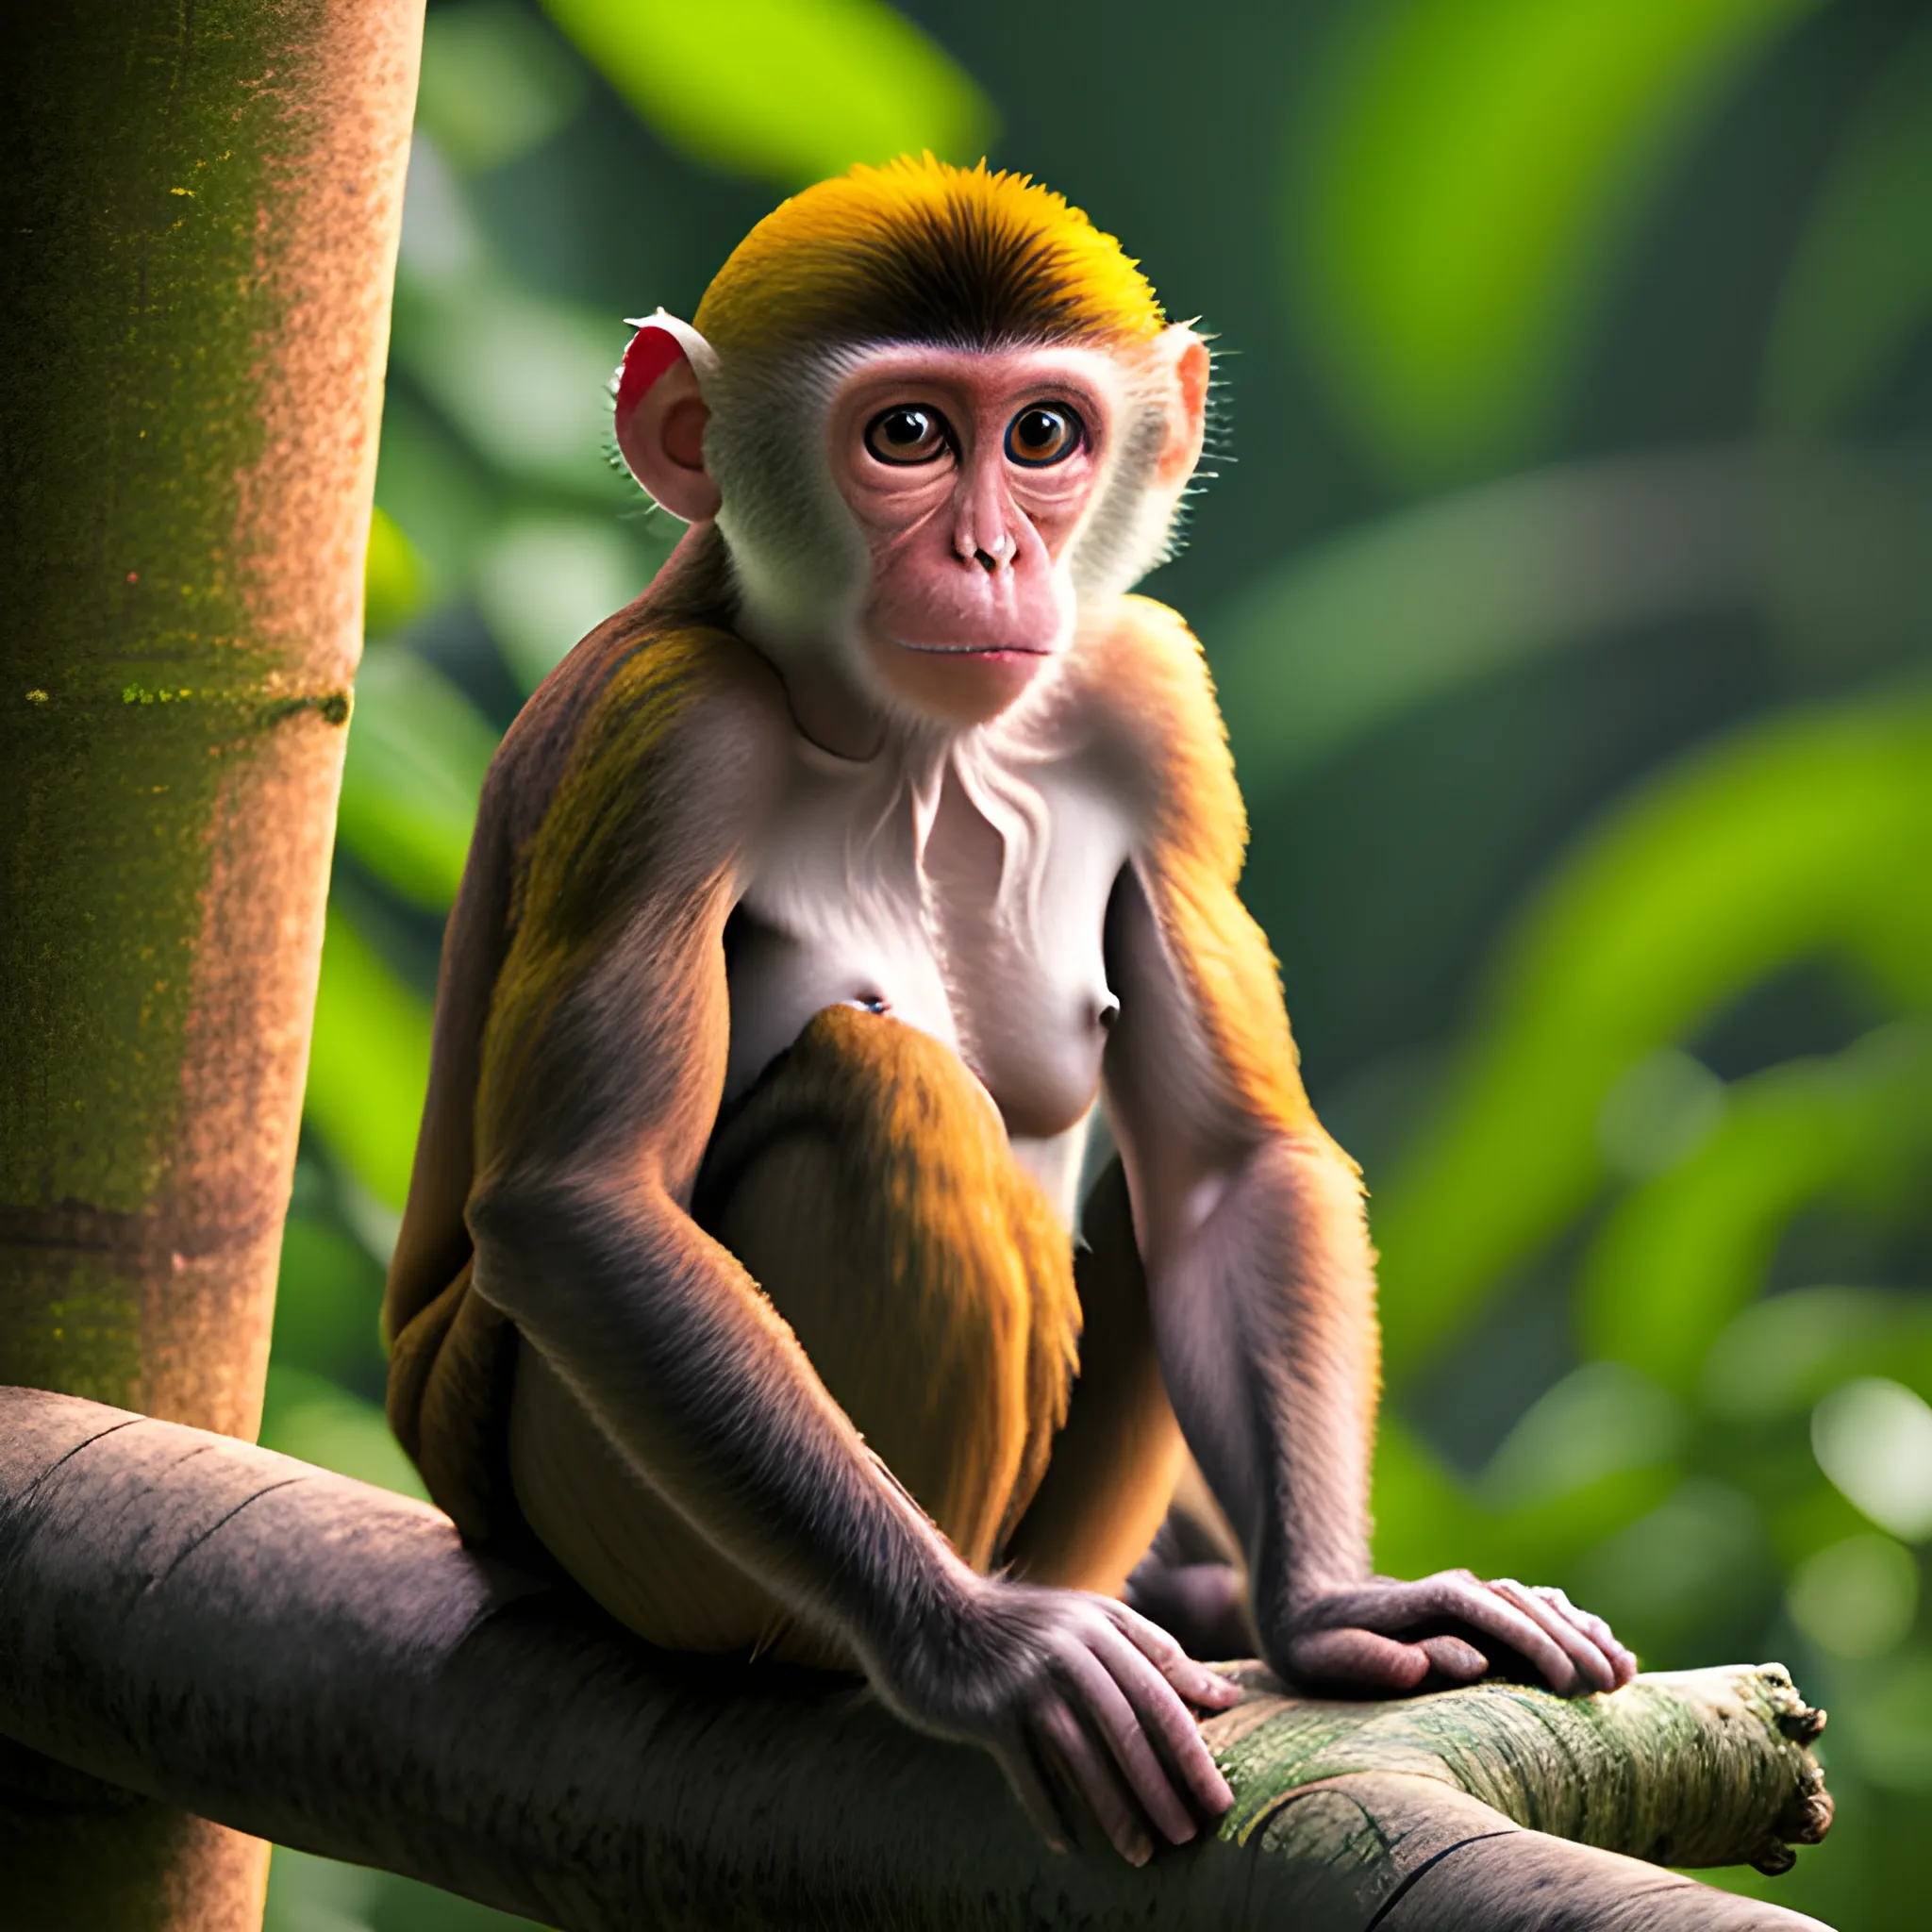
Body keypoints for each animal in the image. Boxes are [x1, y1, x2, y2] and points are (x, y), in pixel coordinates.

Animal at [384, 158, 1638, 1862]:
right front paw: (978, 1650)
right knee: (874, 1085)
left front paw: (1331, 1606)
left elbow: (1229, 1164)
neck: (904, 745)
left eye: (1041, 435)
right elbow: (580, 1200)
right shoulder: (670, 744)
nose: (989, 559)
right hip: (597, 1517)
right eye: (907, 433)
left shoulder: (1148, 697)